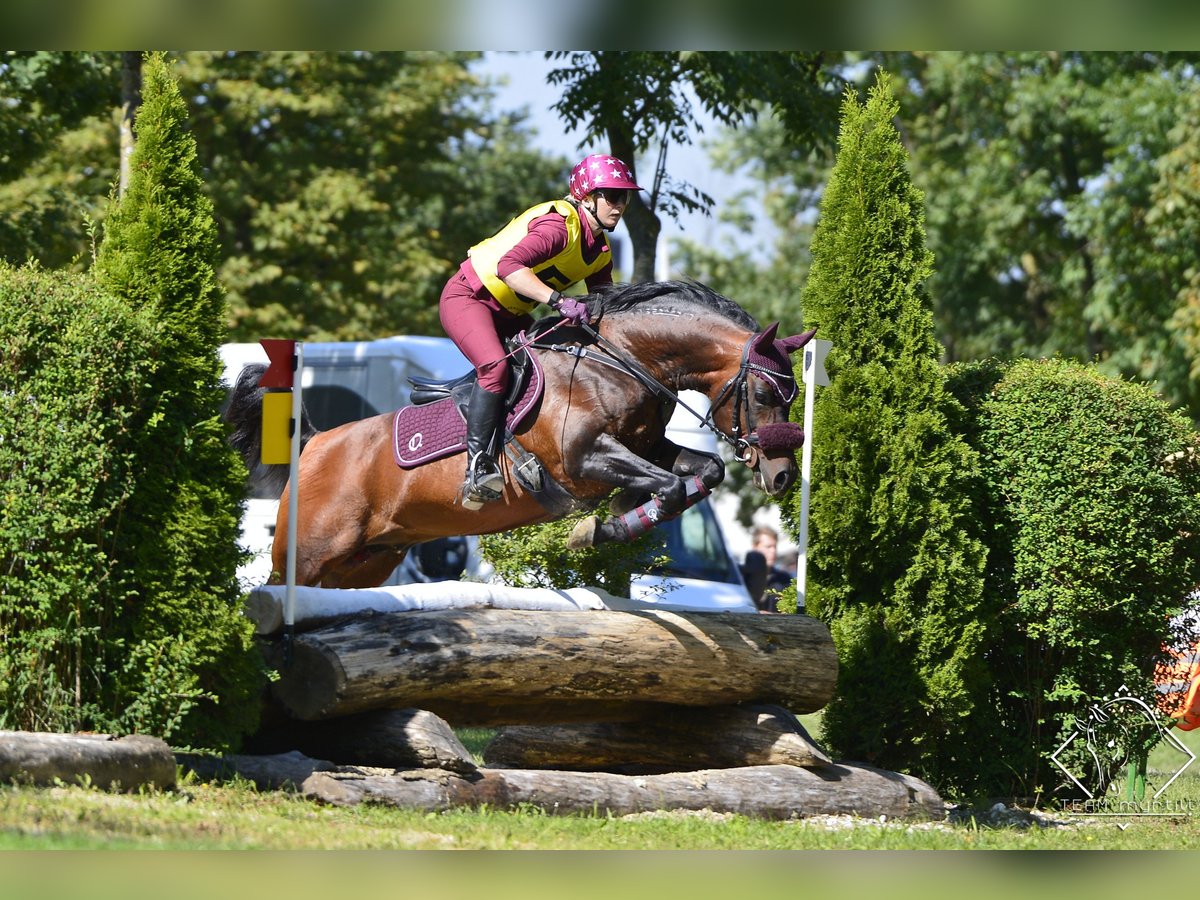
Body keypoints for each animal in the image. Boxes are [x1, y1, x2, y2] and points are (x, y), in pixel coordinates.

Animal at [223, 282, 816, 592]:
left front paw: (614, 523)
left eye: (793, 397)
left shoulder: (648, 449)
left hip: (367, 563)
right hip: (306, 556)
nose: (783, 476)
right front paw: (595, 530)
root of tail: (315, 443)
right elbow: (668, 487)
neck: (620, 361)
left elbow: (700, 472)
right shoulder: (583, 459)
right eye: (762, 394)